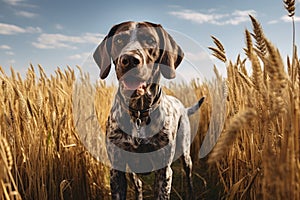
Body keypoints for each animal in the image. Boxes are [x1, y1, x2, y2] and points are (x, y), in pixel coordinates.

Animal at [94, 21, 205, 199]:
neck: (139, 112)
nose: (129, 60)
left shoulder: (164, 171)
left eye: (150, 40)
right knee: (138, 185)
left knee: (189, 178)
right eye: (119, 40)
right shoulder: (117, 170)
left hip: (186, 154)